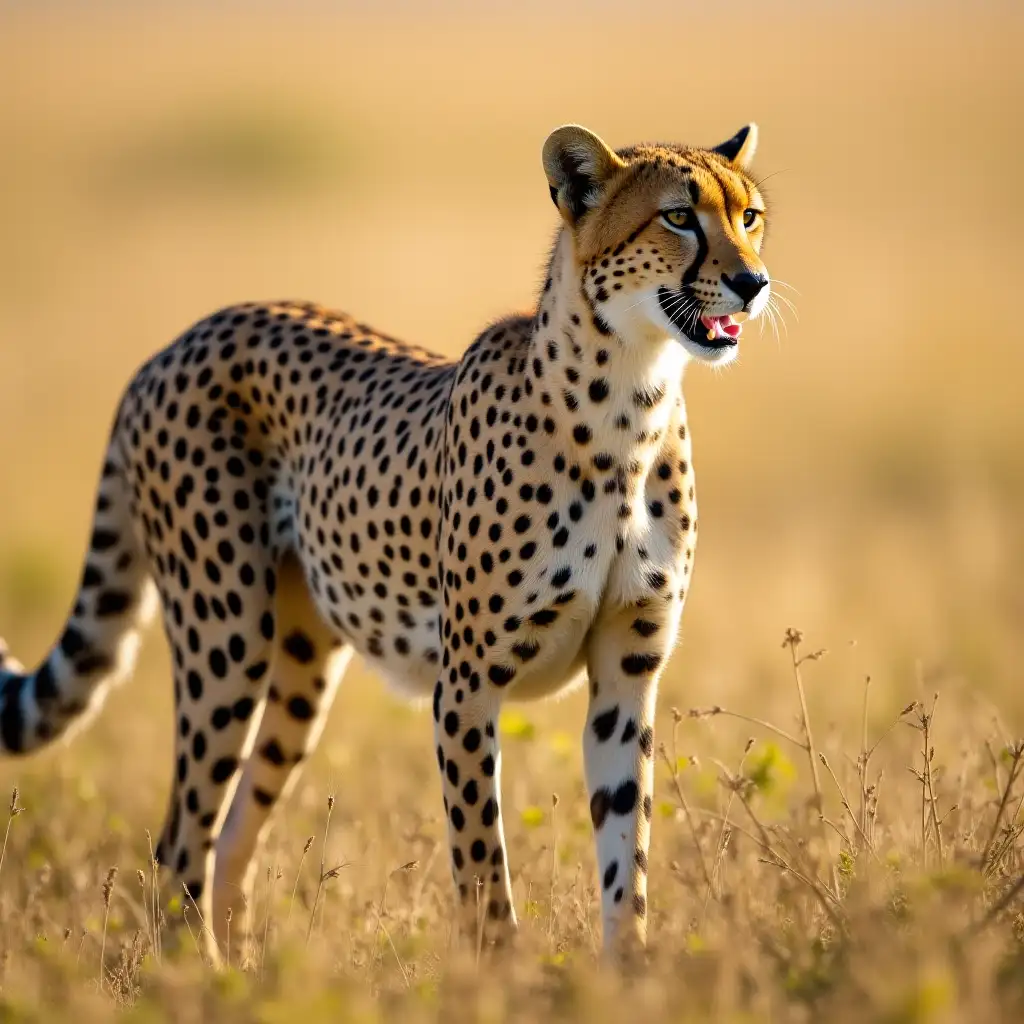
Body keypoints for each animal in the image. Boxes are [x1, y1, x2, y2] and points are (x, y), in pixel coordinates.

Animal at [0, 121, 770, 958]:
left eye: (750, 217)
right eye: (679, 217)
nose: (754, 284)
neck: (629, 404)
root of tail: (176, 343)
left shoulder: (627, 675)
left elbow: (626, 858)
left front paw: (628, 971)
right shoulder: (465, 687)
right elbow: (482, 866)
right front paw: (505, 974)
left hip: (300, 663)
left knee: (233, 832)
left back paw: (242, 971)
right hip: (226, 639)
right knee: (179, 841)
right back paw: (195, 973)